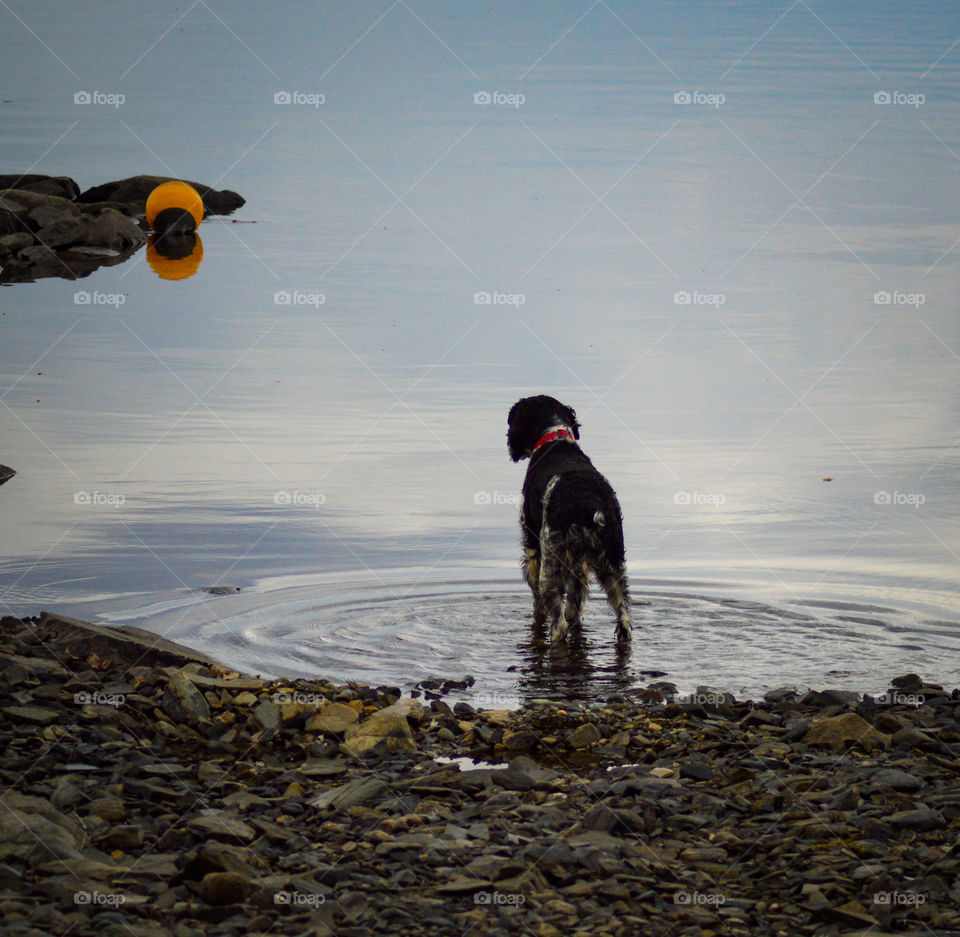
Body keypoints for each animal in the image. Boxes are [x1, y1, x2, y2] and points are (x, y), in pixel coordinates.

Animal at [506, 394, 632, 644]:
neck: (554, 438)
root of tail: (590, 507)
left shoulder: (532, 543)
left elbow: (537, 602)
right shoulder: (579, 567)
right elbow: (575, 604)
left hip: (551, 566)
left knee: (558, 624)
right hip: (613, 564)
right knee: (624, 621)